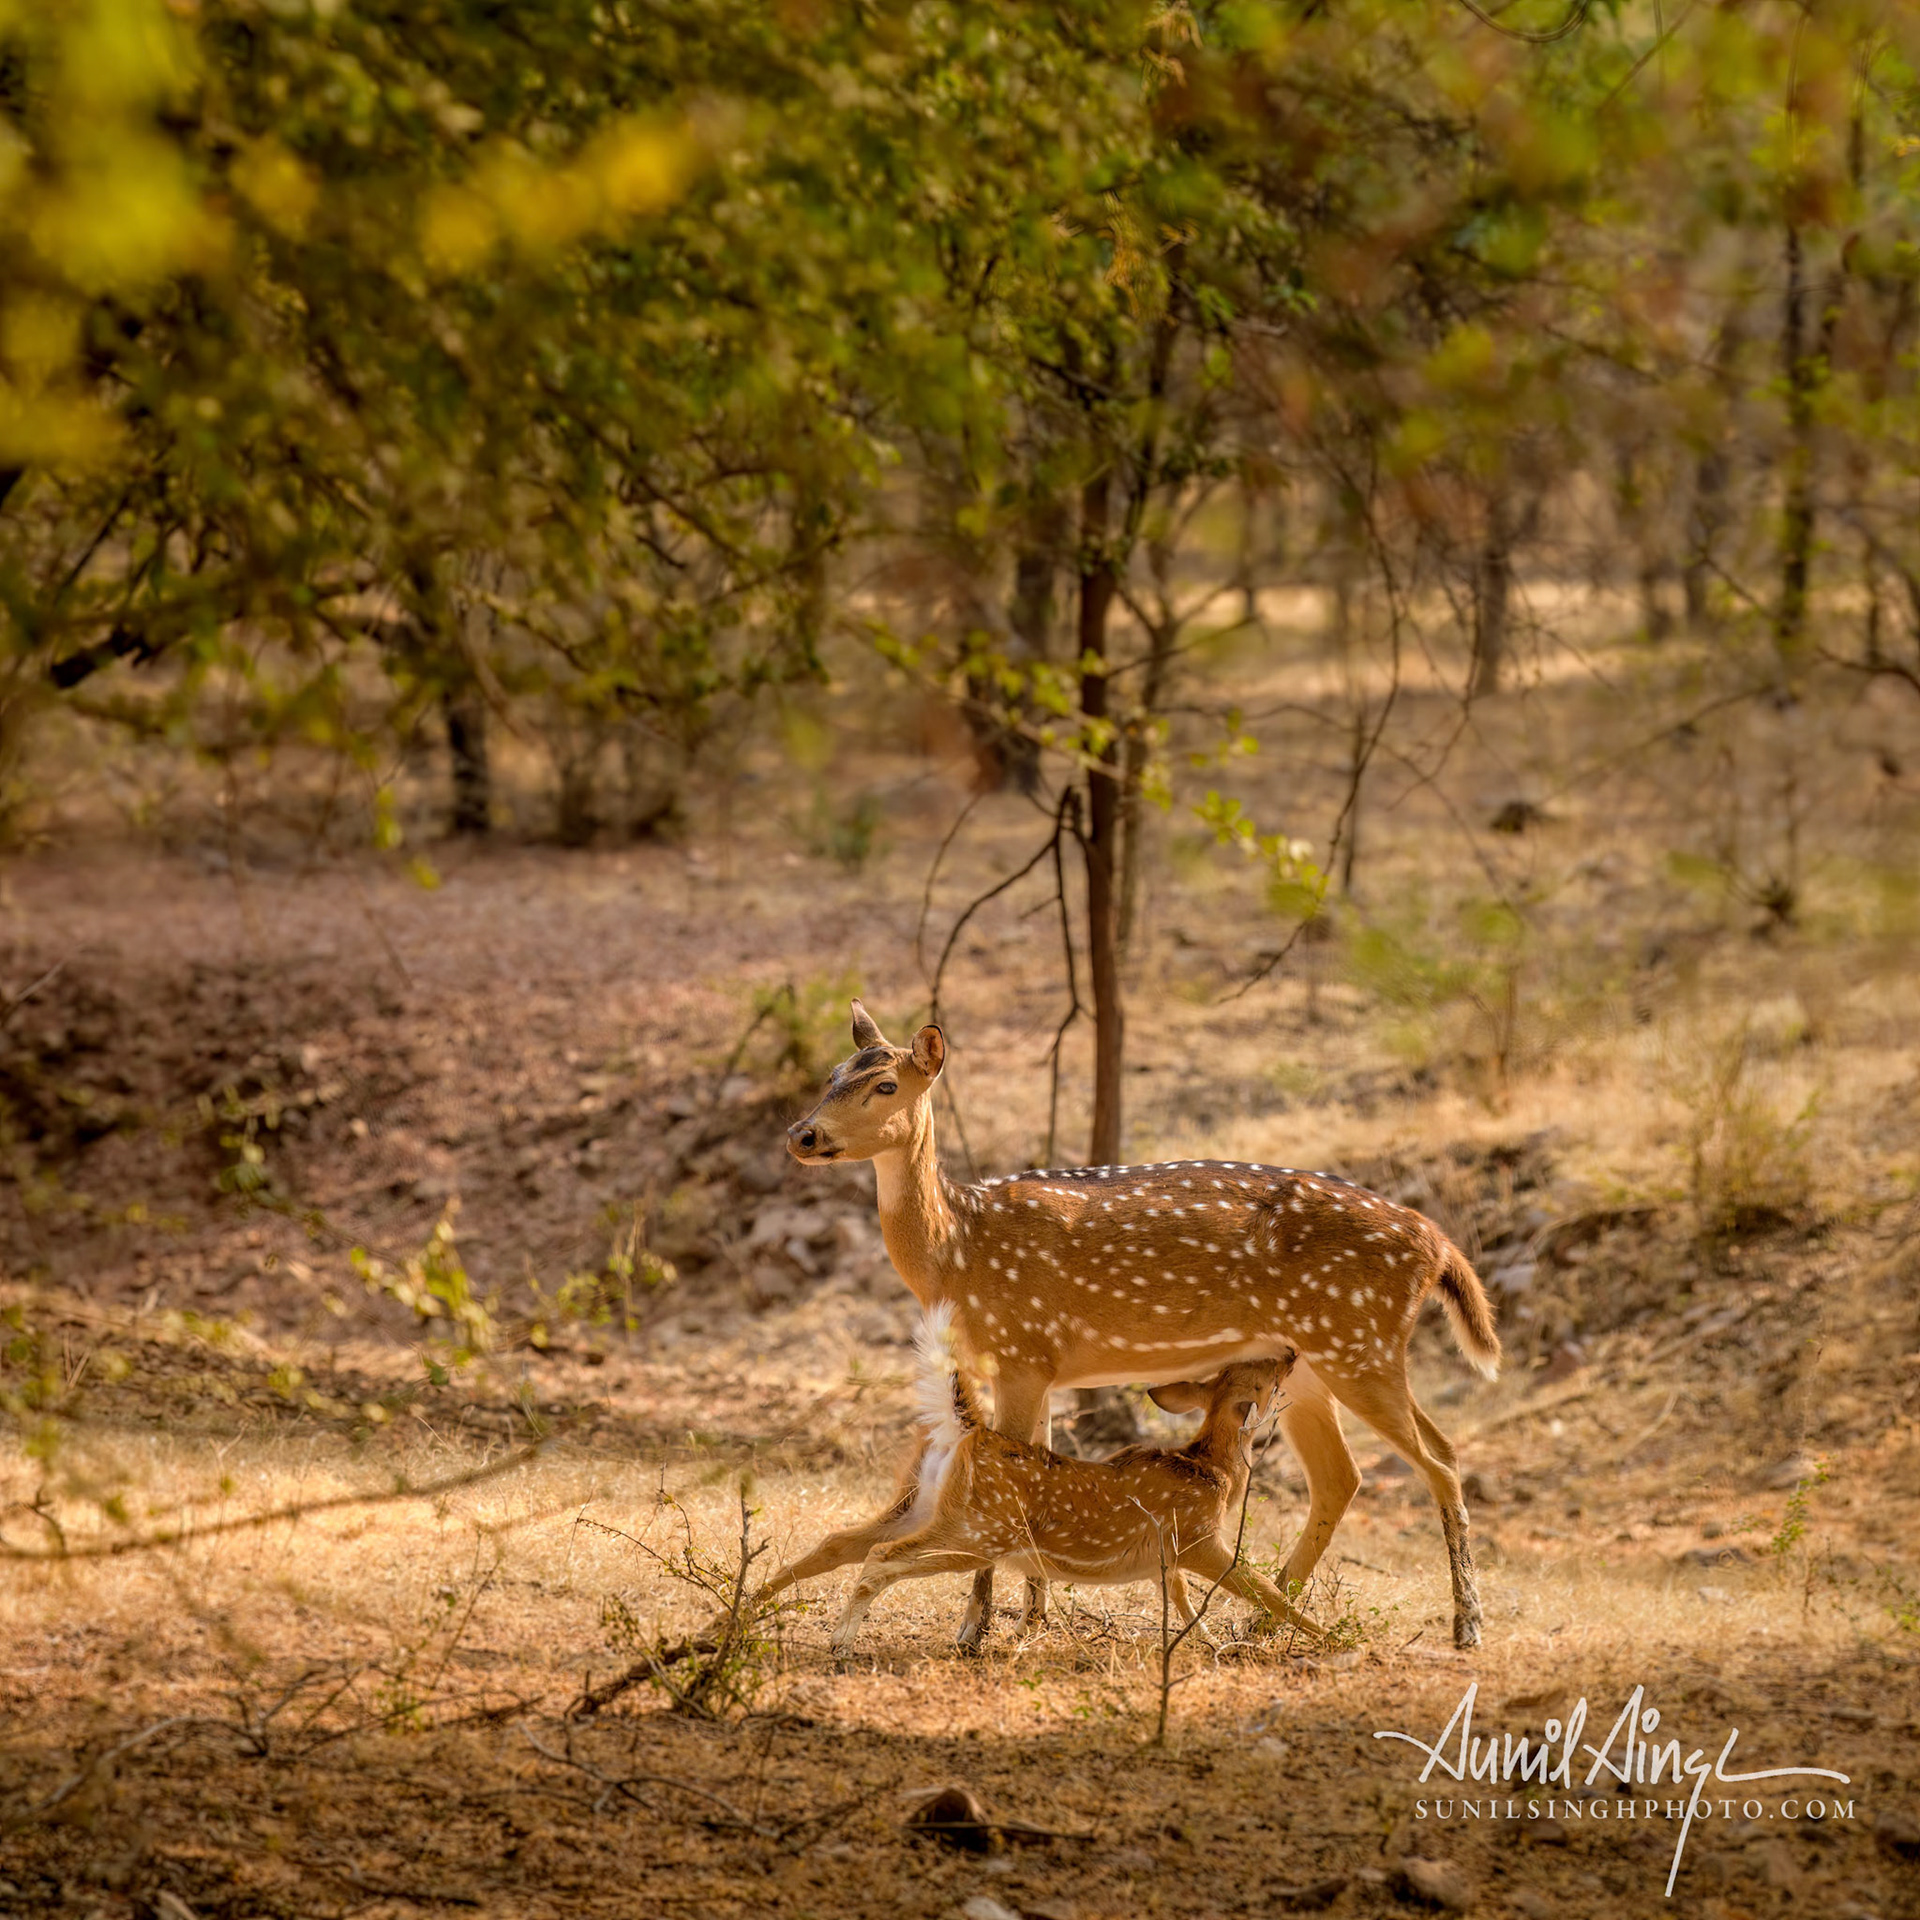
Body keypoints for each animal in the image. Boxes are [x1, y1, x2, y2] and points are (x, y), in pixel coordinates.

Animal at [753, 1303, 1316, 1654]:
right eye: (1267, 1376)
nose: (1291, 1351)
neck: (1214, 1472)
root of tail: (968, 1432)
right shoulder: (1196, 1536)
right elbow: (1266, 1591)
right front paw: (1326, 1637)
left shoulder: (1167, 1557)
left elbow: (1180, 1600)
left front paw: (1208, 1643)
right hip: (982, 1530)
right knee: (880, 1556)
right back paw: (839, 1642)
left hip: (916, 1501)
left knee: (837, 1541)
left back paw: (744, 1609)